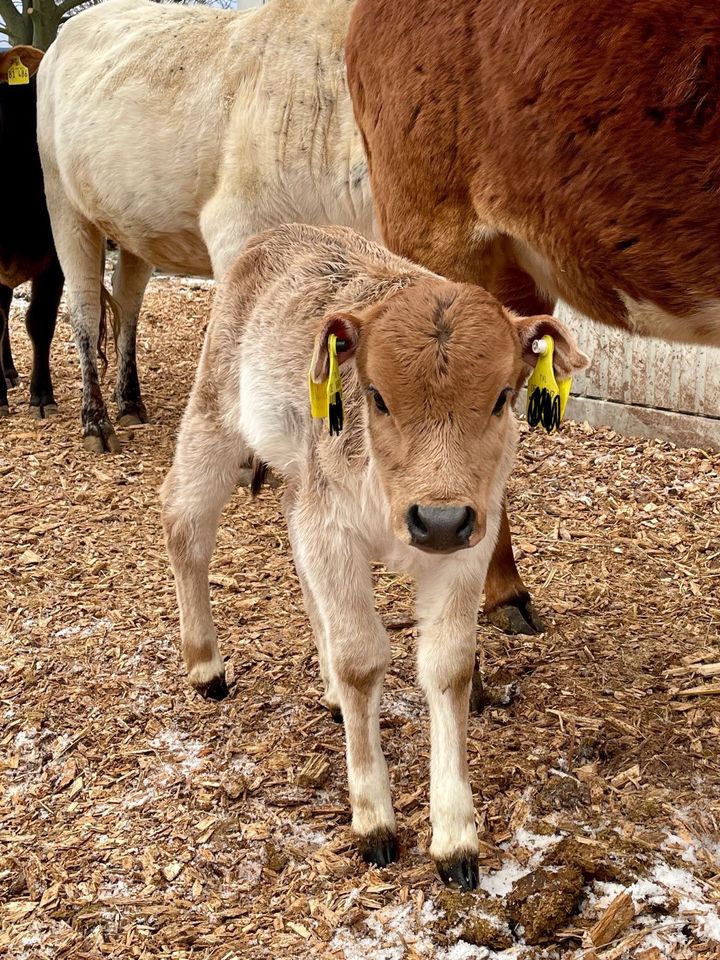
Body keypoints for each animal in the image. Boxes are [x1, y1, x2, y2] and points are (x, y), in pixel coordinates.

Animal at [35, 0, 372, 452]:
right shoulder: (238, 229)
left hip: (136, 230)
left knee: (127, 304)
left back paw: (130, 404)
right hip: (65, 208)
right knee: (85, 309)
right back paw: (96, 422)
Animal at [160, 223, 588, 884]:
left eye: (501, 397)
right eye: (378, 396)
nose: (438, 519)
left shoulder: (468, 547)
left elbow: (448, 666)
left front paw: (456, 837)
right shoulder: (334, 525)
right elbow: (363, 659)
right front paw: (375, 821)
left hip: (300, 485)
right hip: (213, 419)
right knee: (185, 524)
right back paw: (206, 665)